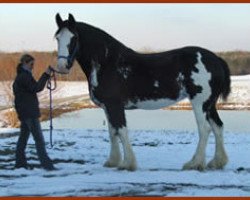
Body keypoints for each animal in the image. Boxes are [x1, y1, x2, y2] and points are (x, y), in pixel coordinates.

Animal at [54, 13, 230, 171]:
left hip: (200, 102)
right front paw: (112, 161)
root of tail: (216, 59)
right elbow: (112, 132)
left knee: (205, 129)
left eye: (74, 38)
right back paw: (217, 162)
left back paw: (194, 164)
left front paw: (127, 164)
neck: (107, 62)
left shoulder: (115, 105)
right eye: (57, 38)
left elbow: (121, 131)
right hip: (209, 104)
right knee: (218, 127)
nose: (62, 66)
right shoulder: (107, 107)